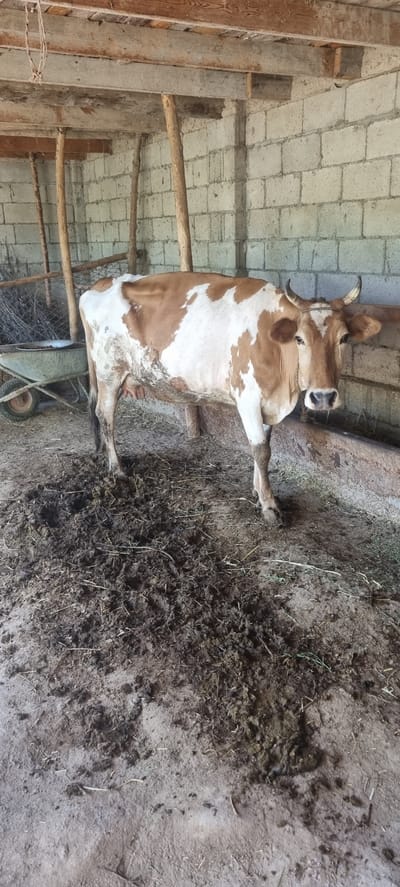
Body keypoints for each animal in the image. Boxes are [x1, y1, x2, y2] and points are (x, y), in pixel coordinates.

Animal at [79, 272, 381, 526]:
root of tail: (100, 283)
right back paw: (116, 469)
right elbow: (261, 450)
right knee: (105, 416)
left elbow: (265, 446)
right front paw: (269, 505)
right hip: (109, 373)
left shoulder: (266, 403)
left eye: (344, 338)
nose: (322, 397)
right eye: (299, 339)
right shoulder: (247, 398)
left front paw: (259, 491)